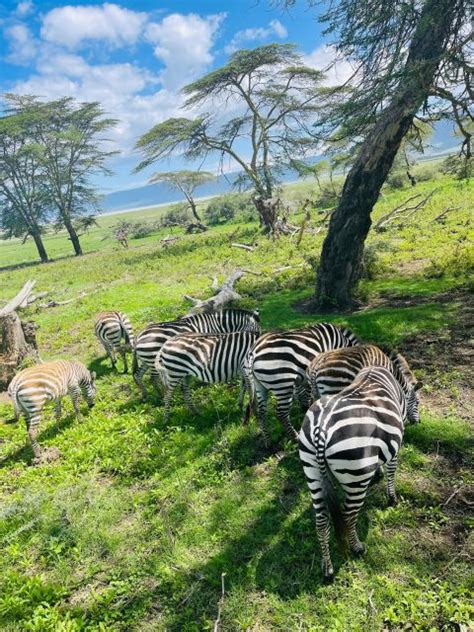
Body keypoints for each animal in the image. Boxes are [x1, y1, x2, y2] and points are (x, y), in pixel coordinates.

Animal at [131, 308, 262, 400]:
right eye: (256, 331)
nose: (254, 348)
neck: (216, 324)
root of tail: (139, 336)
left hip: (146, 360)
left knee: (138, 375)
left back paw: (146, 395)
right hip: (153, 359)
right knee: (153, 378)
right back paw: (161, 395)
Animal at [298, 362, 424, 580]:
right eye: (416, 401)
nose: (418, 422)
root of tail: (321, 430)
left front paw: (378, 472)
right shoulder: (395, 443)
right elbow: (392, 471)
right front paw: (392, 497)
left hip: (311, 471)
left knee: (321, 521)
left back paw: (327, 568)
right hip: (355, 477)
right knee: (348, 515)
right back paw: (357, 547)